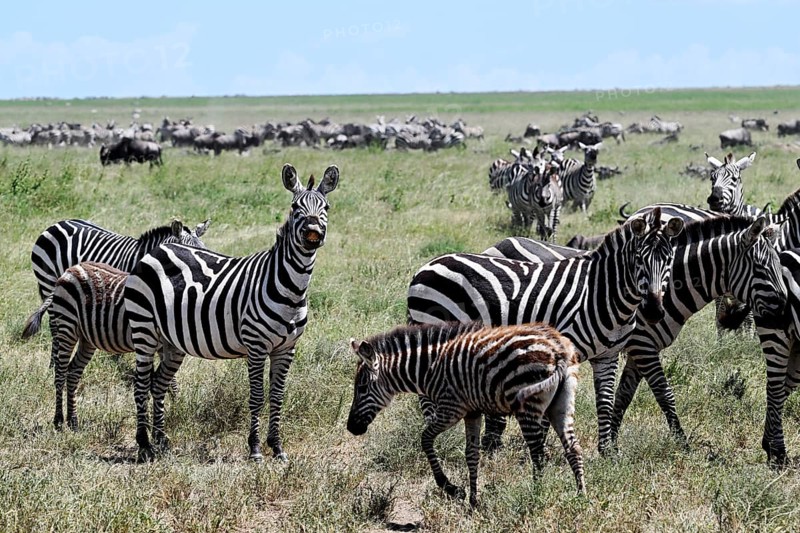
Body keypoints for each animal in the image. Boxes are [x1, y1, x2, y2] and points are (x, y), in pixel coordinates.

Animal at [124, 164, 339, 463]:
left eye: (326, 207)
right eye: (295, 207)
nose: (313, 232)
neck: (291, 287)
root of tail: (159, 248)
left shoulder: (287, 348)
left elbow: (277, 396)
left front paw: (277, 447)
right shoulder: (257, 346)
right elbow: (257, 396)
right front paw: (255, 449)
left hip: (171, 341)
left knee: (158, 383)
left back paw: (161, 441)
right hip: (144, 330)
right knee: (141, 385)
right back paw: (144, 445)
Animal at [346, 321, 585, 507]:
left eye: (363, 388)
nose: (351, 428)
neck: (430, 368)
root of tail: (558, 348)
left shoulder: (451, 407)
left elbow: (425, 439)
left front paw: (449, 487)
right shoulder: (472, 411)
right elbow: (471, 454)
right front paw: (473, 499)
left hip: (528, 405)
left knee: (537, 454)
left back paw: (535, 495)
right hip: (562, 404)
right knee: (573, 448)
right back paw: (580, 496)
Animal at [407, 207, 684, 452]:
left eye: (669, 260)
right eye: (638, 260)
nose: (654, 311)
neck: (601, 293)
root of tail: (426, 266)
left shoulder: (608, 356)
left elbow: (605, 403)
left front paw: (607, 453)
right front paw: (541, 450)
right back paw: (437, 436)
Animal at [486, 209, 788, 451]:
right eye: (761, 268)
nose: (783, 312)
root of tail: (499, 244)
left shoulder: (635, 351)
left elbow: (622, 396)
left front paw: (611, 439)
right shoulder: (643, 345)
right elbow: (664, 393)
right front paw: (682, 442)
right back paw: (493, 442)